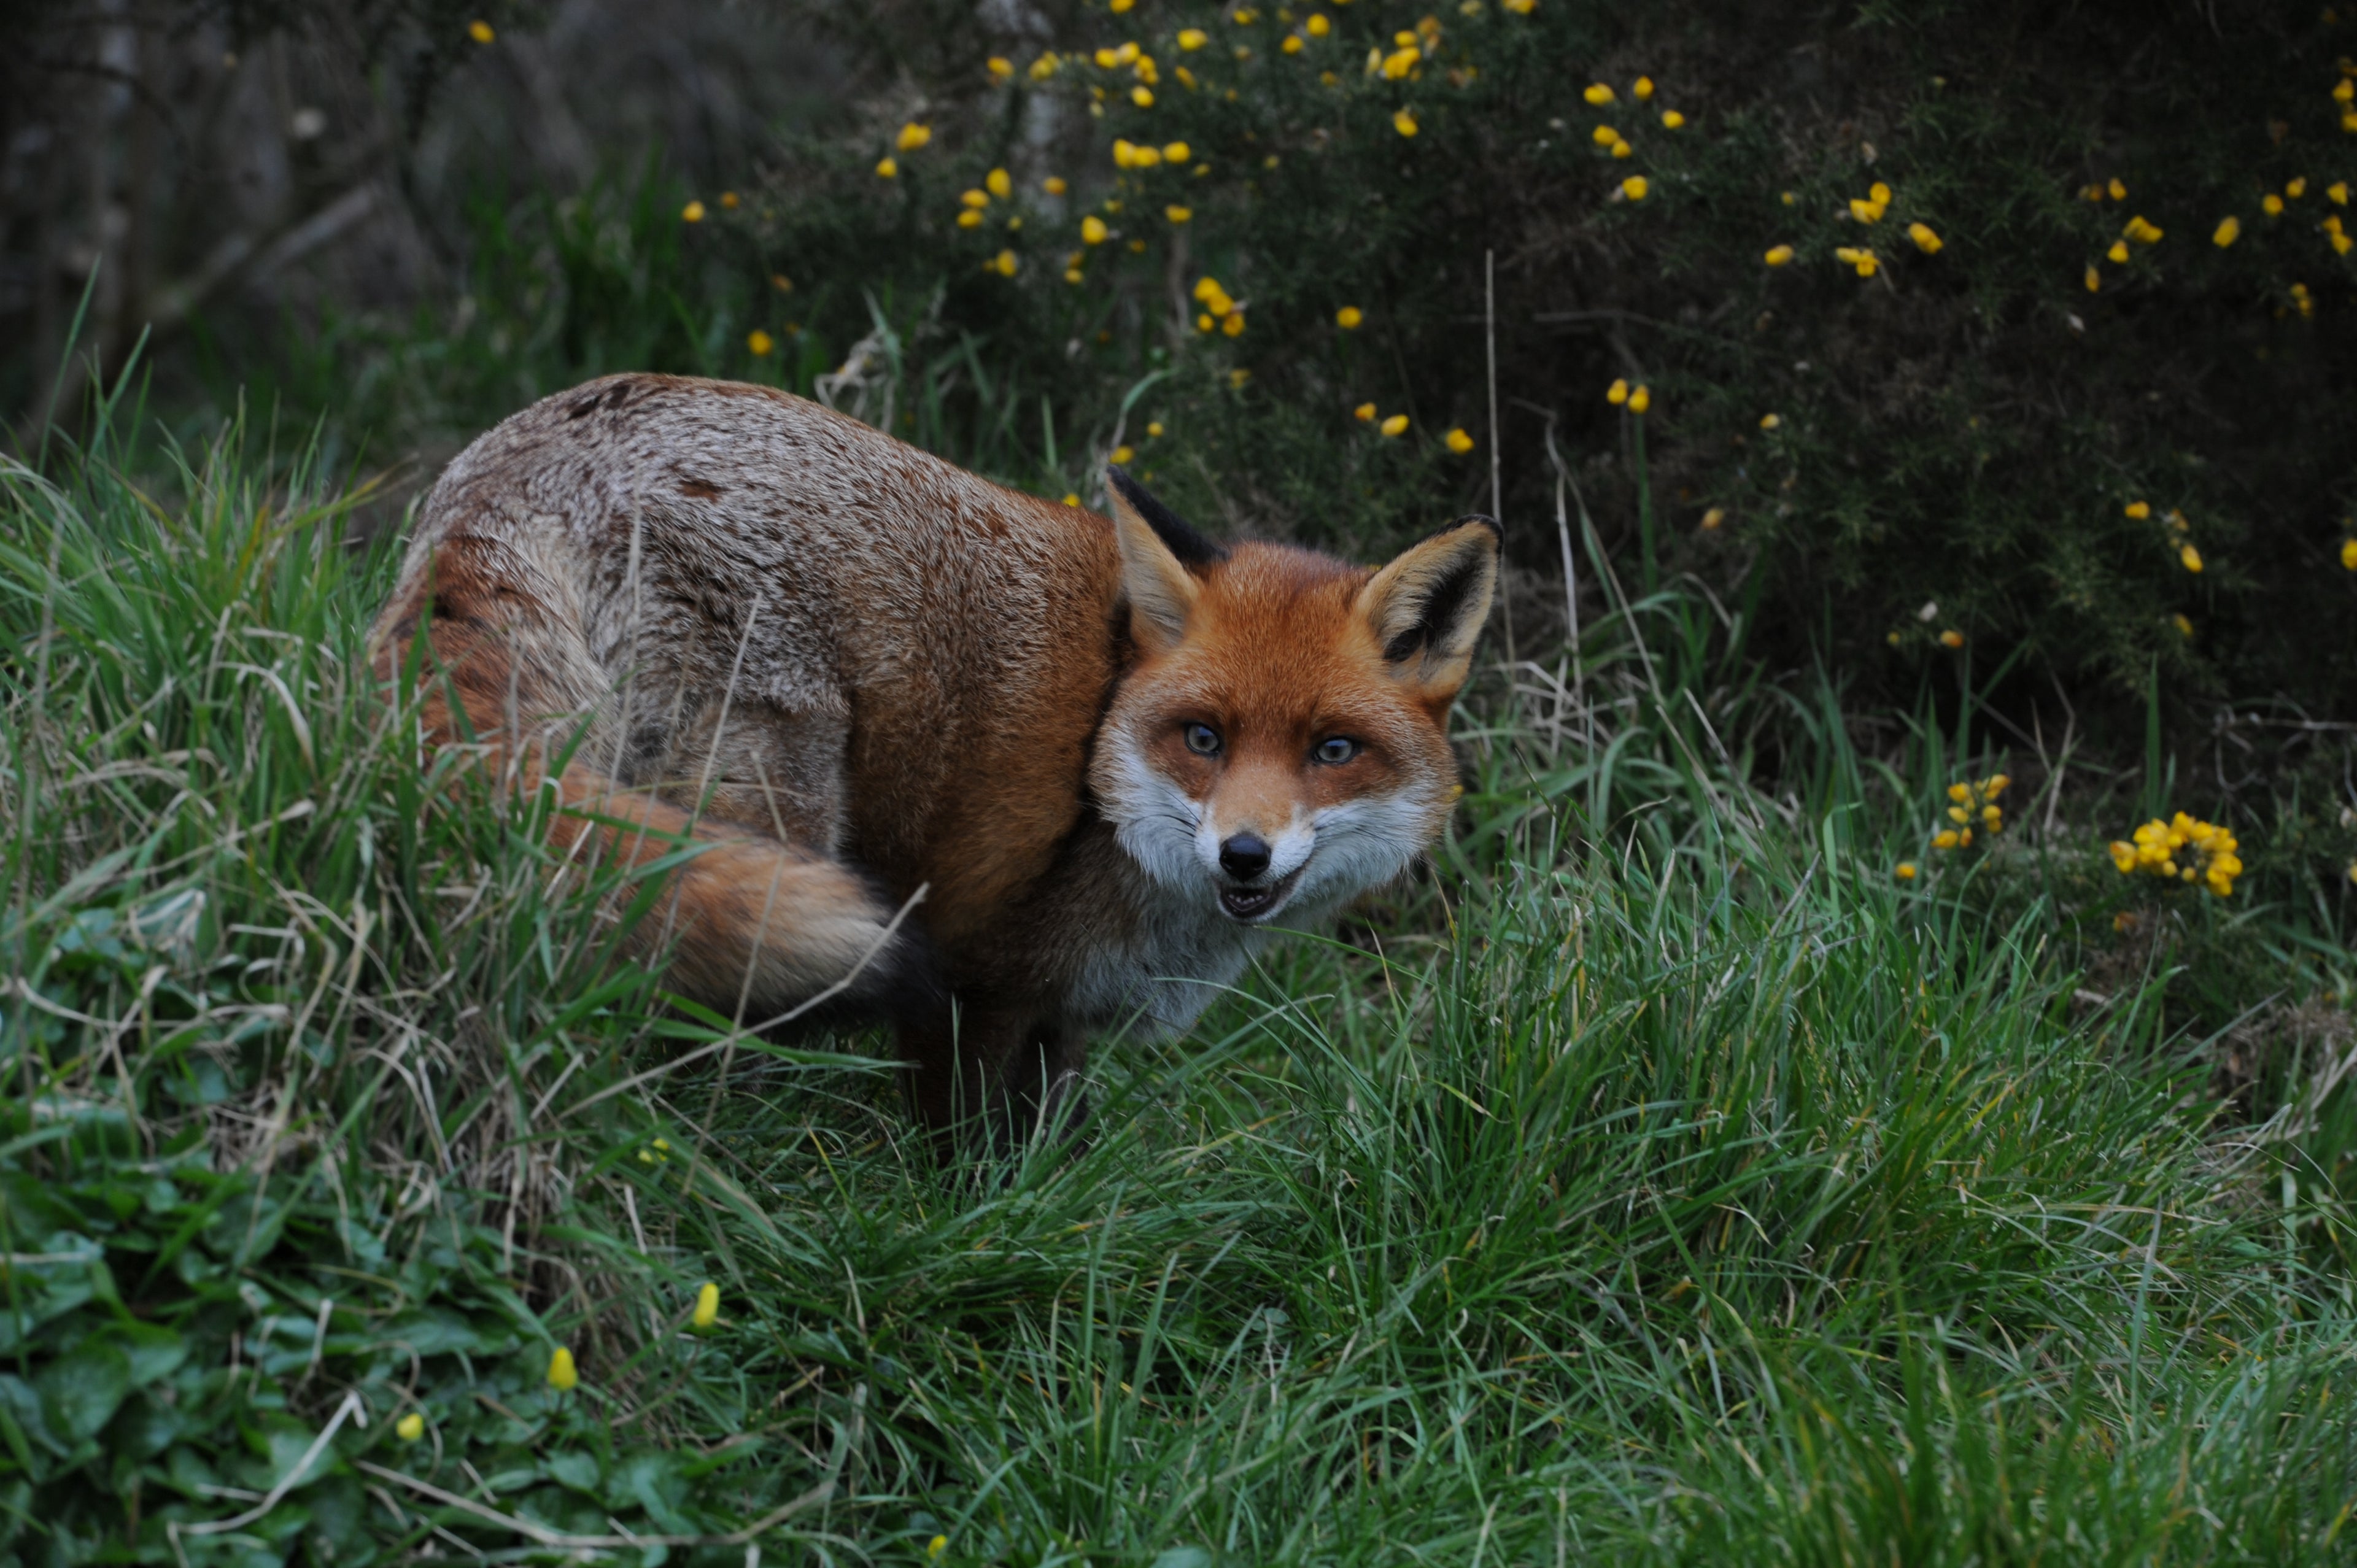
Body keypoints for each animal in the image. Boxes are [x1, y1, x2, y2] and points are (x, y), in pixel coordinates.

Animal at [370, 373, 1499, 1142]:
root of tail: (544, 443)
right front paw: (964, 1233)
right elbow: (967, 1153)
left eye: (1334, 750)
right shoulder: (978, 980)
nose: (1245, 855)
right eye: (1204, 738)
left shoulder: (1060, 1014)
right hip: (775, 829)